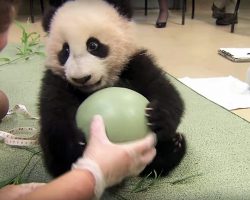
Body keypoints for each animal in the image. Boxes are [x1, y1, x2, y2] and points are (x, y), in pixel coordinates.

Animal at [39, 0, 187, 178]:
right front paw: (75, 142)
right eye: (65, 50)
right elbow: (54, 112)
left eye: (93, 45)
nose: (81, 78)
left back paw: (174, 146)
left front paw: (158, 116)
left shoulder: (134, 63)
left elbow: (165, 91)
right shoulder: (58, 81)